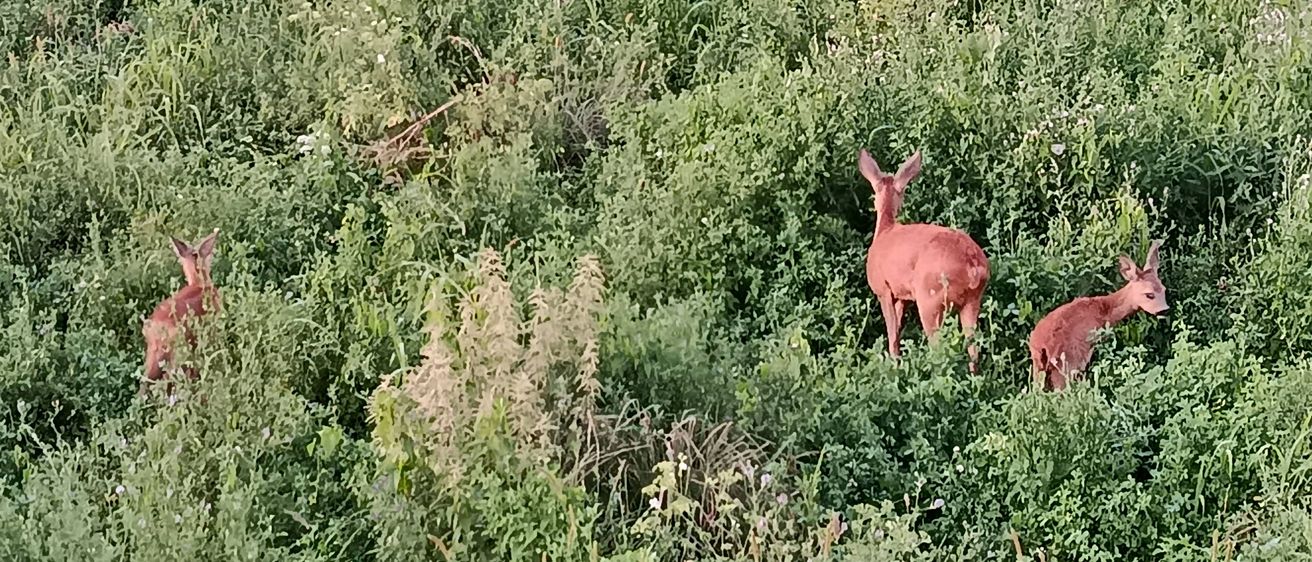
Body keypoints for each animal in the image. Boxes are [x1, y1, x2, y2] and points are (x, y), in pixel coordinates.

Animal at [859, 148, 990, 372]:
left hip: (930, 298)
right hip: (973, 300)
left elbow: (892, 335)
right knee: (973, 348)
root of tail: (973, 267)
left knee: (938, 347)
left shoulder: (883, 289)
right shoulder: (902, 296)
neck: (885, 230)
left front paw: (894, 365)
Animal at [1028, 240, 1167, 391]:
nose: (1164, 310)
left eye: (1164, 289)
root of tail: (1042, 345)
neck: (1104, 311)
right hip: (1065, 364)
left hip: (1038, 366)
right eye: (1149, 294)